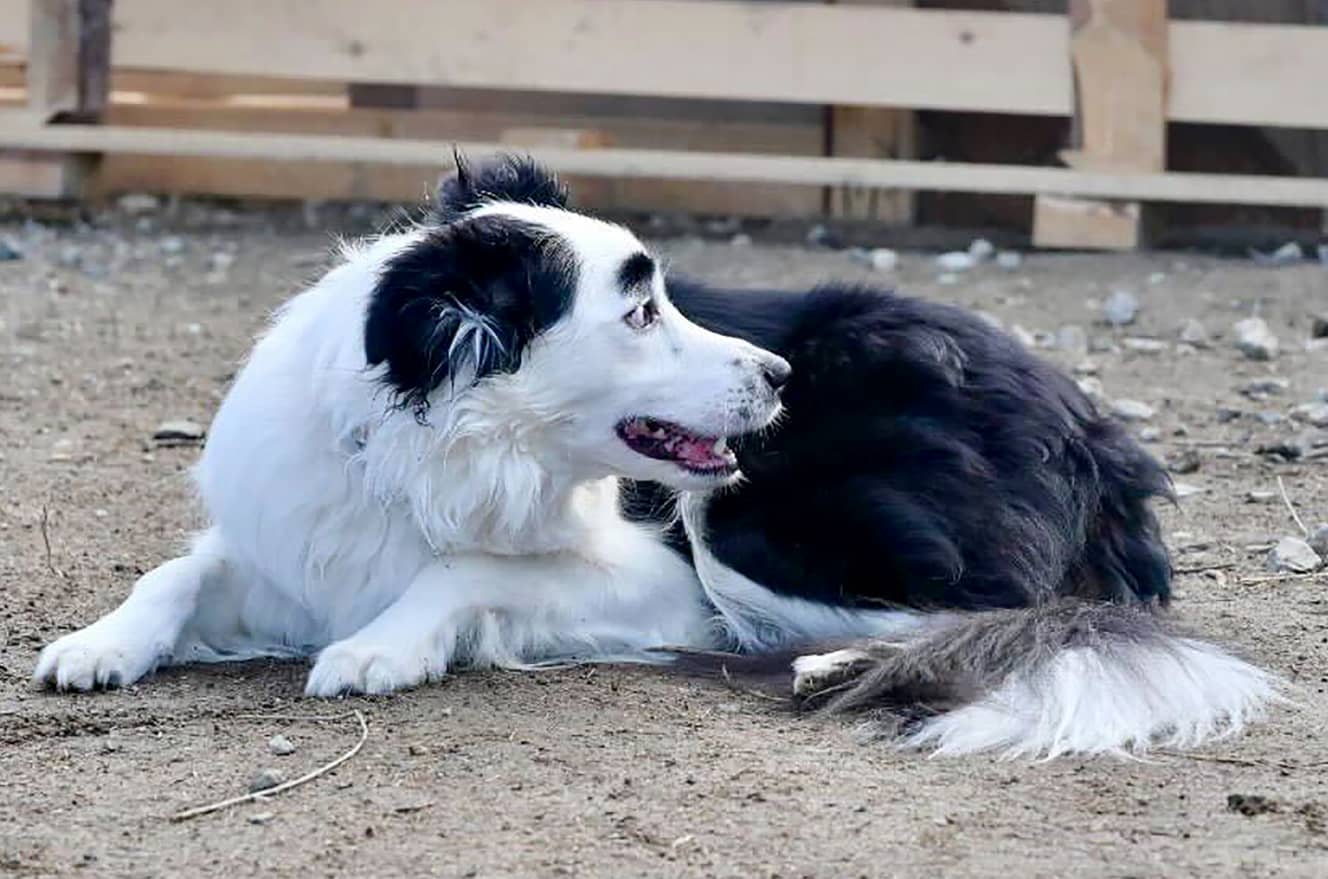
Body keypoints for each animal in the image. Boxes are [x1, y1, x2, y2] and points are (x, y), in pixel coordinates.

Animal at [33, 156, 1274, 759]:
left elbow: (467, 569)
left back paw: (832, 665)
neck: (426, 455)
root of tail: (1093, 429)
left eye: (667, 296)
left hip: (753, 524)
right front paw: (100, 644)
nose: (777, 376)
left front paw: (382, 646)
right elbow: (179, 569)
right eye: (637, 313)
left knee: (1007, 614)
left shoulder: (654, 579)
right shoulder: (288, 536)